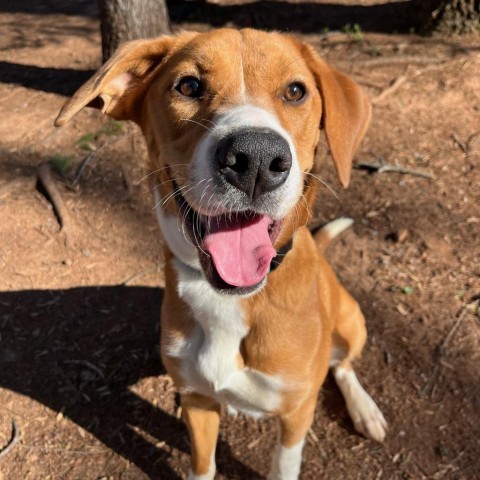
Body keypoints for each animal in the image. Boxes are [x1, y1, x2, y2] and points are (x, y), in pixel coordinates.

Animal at [56, 29, 386, 480]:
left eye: (295, 91)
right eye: (188, 86)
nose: (256, 159)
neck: (230, 300)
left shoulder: (296, 414)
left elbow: (284, 464)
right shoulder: (196, 401)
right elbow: (203, 463)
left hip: (353, 321)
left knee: (343, 364)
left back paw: (364, 409)